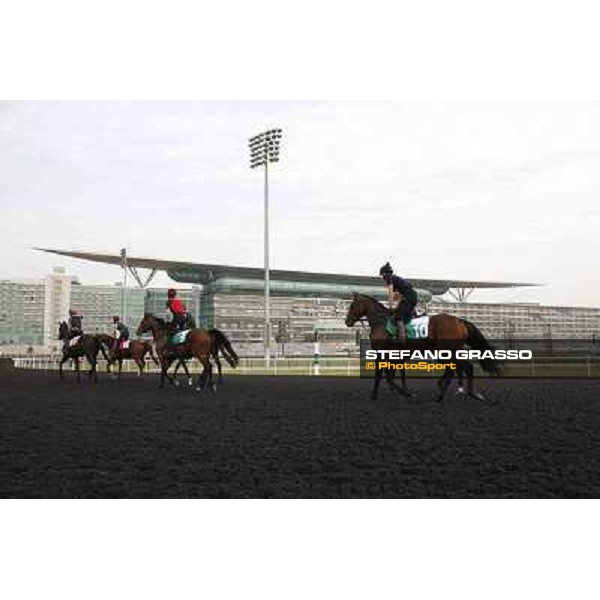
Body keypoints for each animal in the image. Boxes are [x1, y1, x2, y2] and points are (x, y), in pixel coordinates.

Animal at [344, 292, 500, 400]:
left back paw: (445, 394)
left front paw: (379, 394)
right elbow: (395, 375)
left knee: (460, 368)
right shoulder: (396, 356)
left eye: (351, 306)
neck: (381, 322)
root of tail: (459, 320)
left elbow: (383, 375)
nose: (347, 321)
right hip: (447, 351)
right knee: (463, 367)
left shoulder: (381, 354)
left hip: (446, 351)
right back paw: (465, 392)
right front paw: (403, 391)